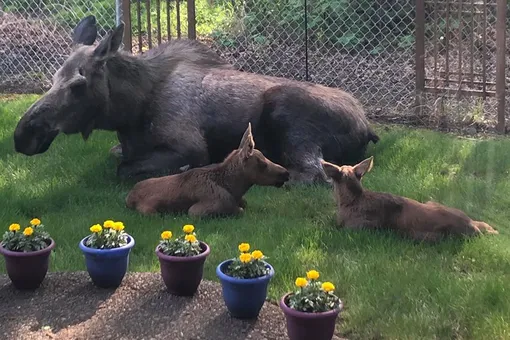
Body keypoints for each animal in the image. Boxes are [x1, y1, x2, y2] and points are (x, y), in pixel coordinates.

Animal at [12, 15, 378, 186]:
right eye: (52, 79)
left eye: (77, 85)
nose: (23, 134)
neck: (129, 113)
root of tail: (367, 127)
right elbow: (117, 156)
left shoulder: (189, 146)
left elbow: (124, 168)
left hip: (286, 113)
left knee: (311, 173)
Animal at [125, 123, 288, 216]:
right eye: (263, 164)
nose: (286, 173)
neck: (234, 189)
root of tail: (129, 198)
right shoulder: (198, 210)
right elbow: (239, 210)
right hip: (150, 211)